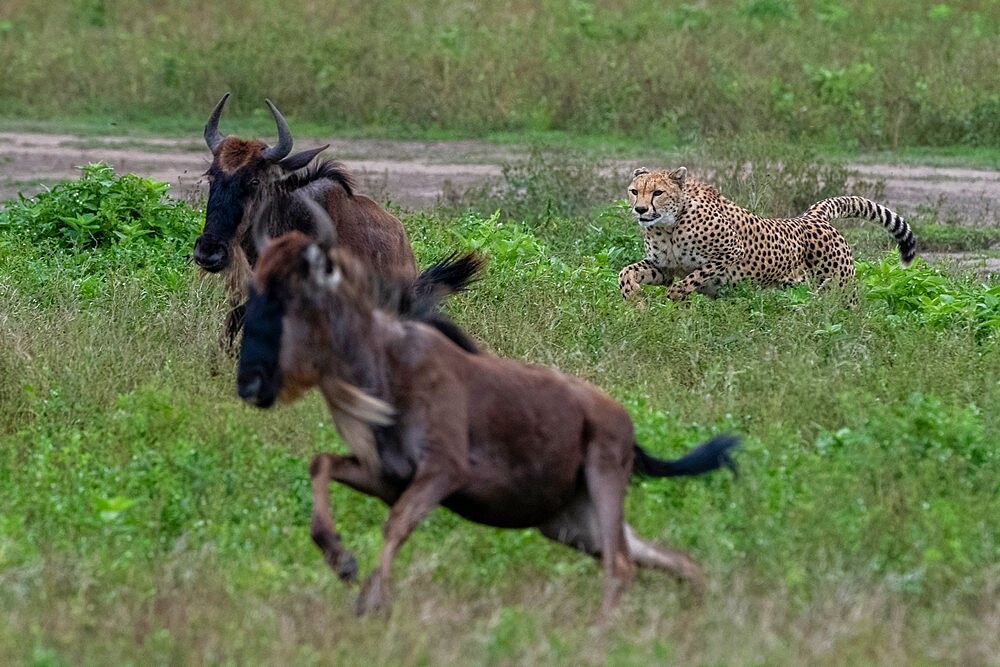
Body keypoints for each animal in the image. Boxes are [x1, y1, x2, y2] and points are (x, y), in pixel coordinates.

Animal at [620, 167, 916, 302]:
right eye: (635, 191)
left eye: (658, 192)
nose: (640, 209)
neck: (668, 225)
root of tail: (811, 216)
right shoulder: (664, 267)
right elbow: (625, 271)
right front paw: (631, 293)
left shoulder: (730, 252)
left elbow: (692, 277)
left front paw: (674, 296)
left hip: (840, 288)